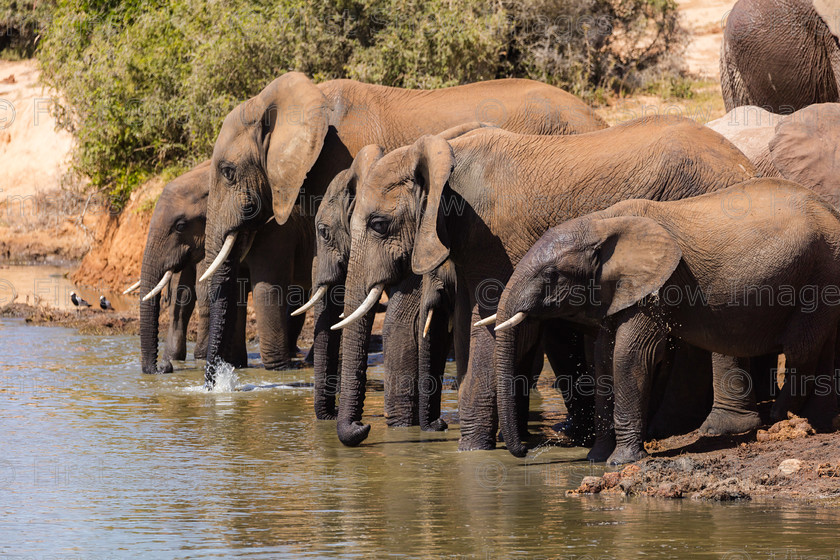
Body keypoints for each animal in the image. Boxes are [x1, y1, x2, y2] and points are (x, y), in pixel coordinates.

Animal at [336, 115, 760, 450]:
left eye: (378, 224)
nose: (362, 429)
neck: (446, 158)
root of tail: (746, 164)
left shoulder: (494, 236)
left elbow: (492, 328)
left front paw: (473, 455)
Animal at [492, 180, 840, 464]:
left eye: (551, 275)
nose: (524, 450)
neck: (602, 222)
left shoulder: (657, 286)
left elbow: (629, 356)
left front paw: (619, 462)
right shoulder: (618, 289)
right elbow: (604, 357)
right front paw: (596, 458)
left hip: (819, 273)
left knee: (802, 349)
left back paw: (784, 416)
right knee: (824, 348)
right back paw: (819, 421)